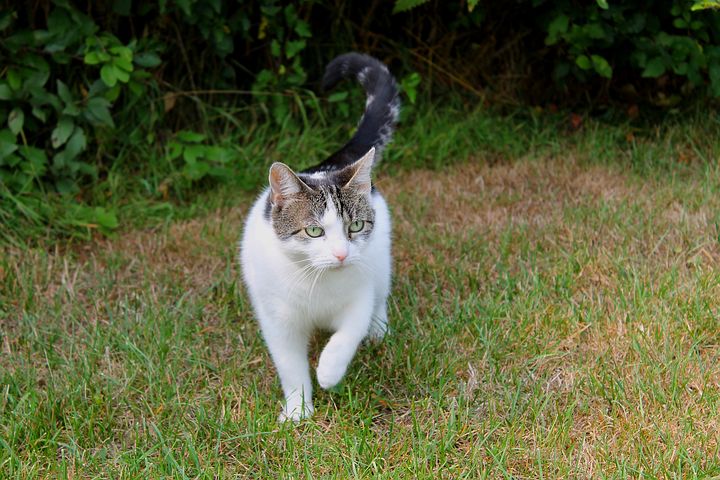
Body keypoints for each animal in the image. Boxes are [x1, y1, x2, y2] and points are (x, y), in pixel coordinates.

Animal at [240, 51, 400, 420]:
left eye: (355, 226)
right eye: (314, 231)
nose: (341, 254)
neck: (317, 282)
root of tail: (328, 166)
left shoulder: (358, 295)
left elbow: (348, 332)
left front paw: (329, 370)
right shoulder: (278, 320)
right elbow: (289, 365)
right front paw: (298, 409)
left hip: (381, 261)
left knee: (380, 295)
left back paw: (378, 330)